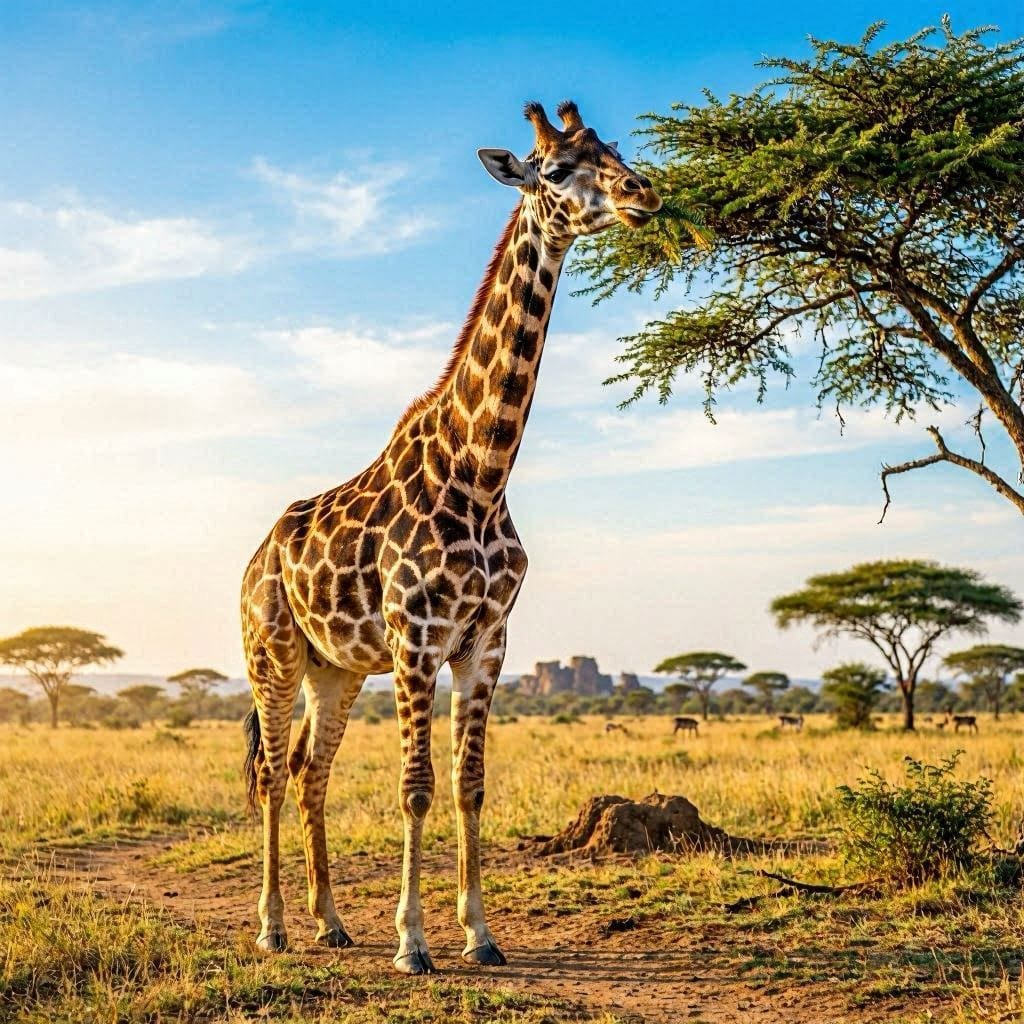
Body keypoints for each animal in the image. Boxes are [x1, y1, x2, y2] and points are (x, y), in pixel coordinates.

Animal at [241, 100, 661, 974]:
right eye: (558, 170)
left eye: (614, 150)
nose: (644, 194)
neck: (483, 470)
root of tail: (254, 558)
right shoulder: (417, 636)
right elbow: (417, 786)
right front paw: (413, 943)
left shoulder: (487, 640)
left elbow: (470, 786)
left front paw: (480, 934)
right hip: (274, 652)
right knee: (268, 772)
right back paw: (272, 926)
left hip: (335, 670)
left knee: (308, 770)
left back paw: (330, 922)